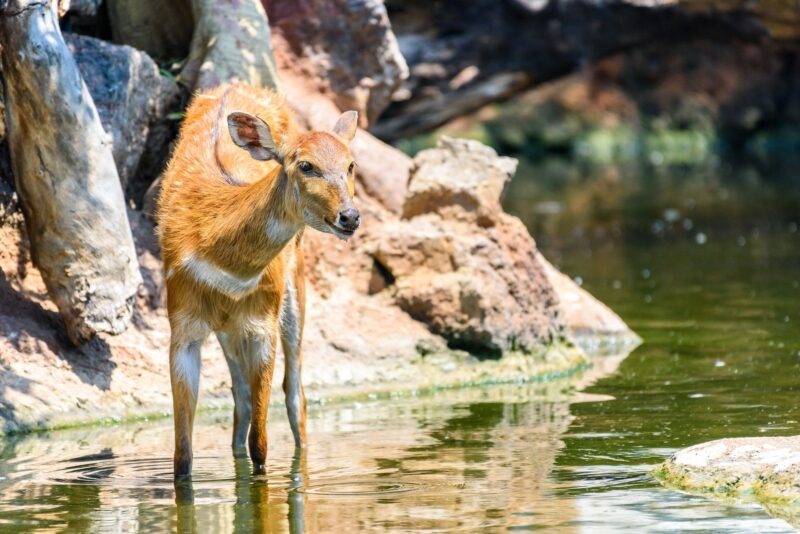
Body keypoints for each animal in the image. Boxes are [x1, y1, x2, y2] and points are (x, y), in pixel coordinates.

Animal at [157, 83, 360, 478]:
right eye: (306, 165)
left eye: (350, 165)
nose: (350, 216)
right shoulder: (182, 323)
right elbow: (182, 456)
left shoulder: (262, 322)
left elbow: (261, 446)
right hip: (227, 327)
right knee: (243, 399)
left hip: (293, 284)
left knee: (295, 394)